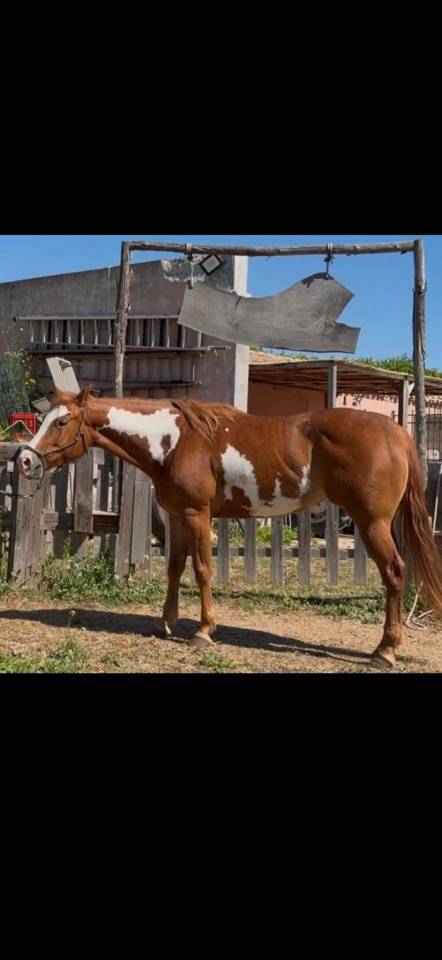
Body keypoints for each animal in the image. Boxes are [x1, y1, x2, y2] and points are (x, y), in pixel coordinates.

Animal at [17, 385, 442, 668]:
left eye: (62, 421)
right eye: (44, 418)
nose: (24, 460)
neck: (175, 441)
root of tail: (396, 433)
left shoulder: (197, 514)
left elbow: (202, 569)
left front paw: (204, 631)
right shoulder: (177, 516)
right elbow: (175, 568)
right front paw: (166, 623)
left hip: (373, 524)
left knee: (395, 574)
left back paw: (385, 650)